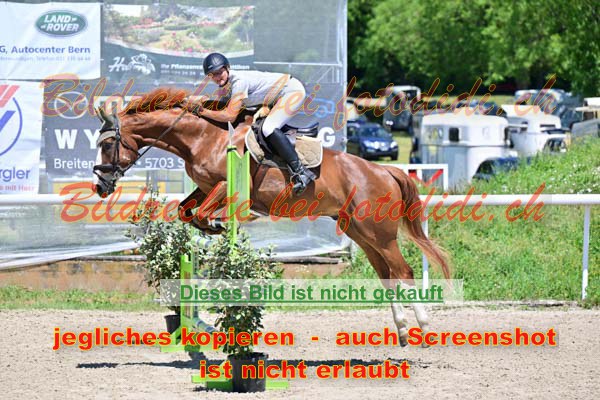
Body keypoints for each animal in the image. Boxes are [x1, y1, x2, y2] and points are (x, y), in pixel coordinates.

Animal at [92, 87, 450, 346]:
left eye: (107, 145)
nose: (100, 186)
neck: (202, 138)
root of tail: (384, 171)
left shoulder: (226, 186)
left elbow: (204, 213)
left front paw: (218, 226)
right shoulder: (205, 187)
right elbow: (185, 210)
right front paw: (213, 229)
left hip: (381, 234)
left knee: (403, 271)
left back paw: (423, 328)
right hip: (362, 234)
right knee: (387, 275)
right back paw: (402, 331)